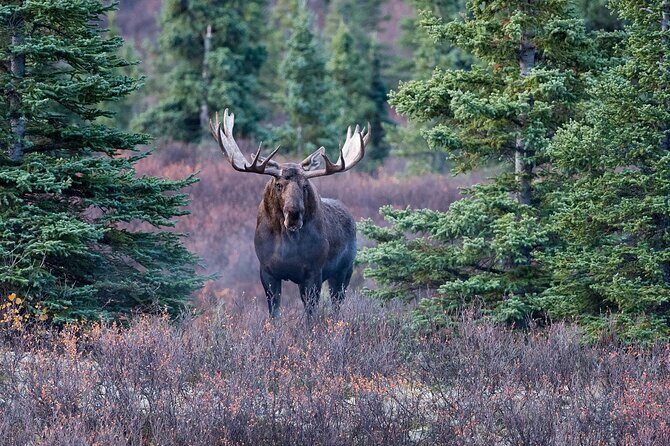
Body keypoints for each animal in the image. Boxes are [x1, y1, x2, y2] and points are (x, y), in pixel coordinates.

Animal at [209, 109, 370, 317]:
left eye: (305, 185)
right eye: (279, 185)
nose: (294, 215)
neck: (287, 244)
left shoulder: (313, 272)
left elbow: (310, 314)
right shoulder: (267, 271)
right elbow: (274, 313)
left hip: (344, 270)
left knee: (337, 304)